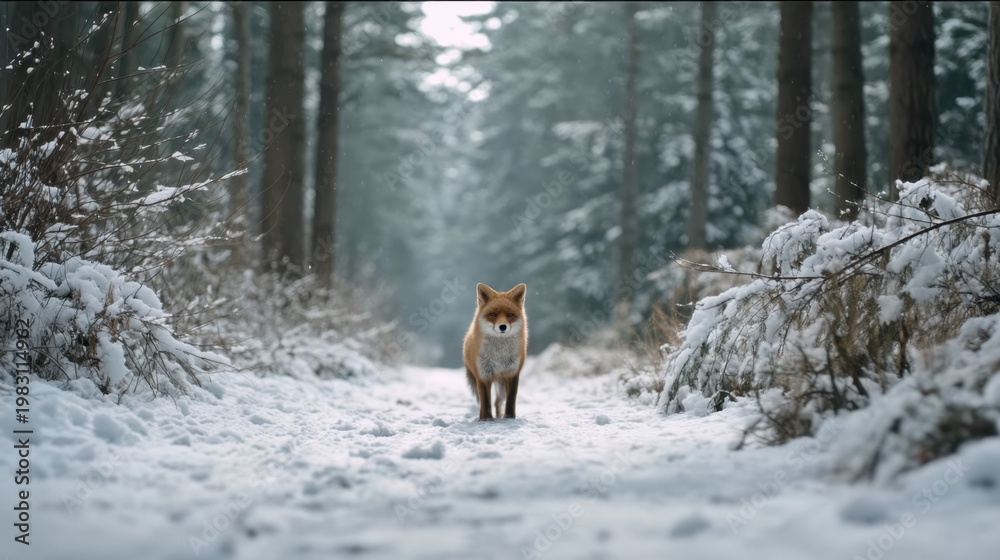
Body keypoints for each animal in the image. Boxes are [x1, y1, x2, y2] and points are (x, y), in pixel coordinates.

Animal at [463, 283, 528, 420]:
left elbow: (511, 400)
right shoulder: (483, 376)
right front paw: (486, 419)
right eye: (493, 314)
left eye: (510, 315)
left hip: (501, 385)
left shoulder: (512, 373)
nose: (502, 326)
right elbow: (485, 402)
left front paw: (509, 417)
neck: (499, 355)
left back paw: (499, 416)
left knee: (498, 401)